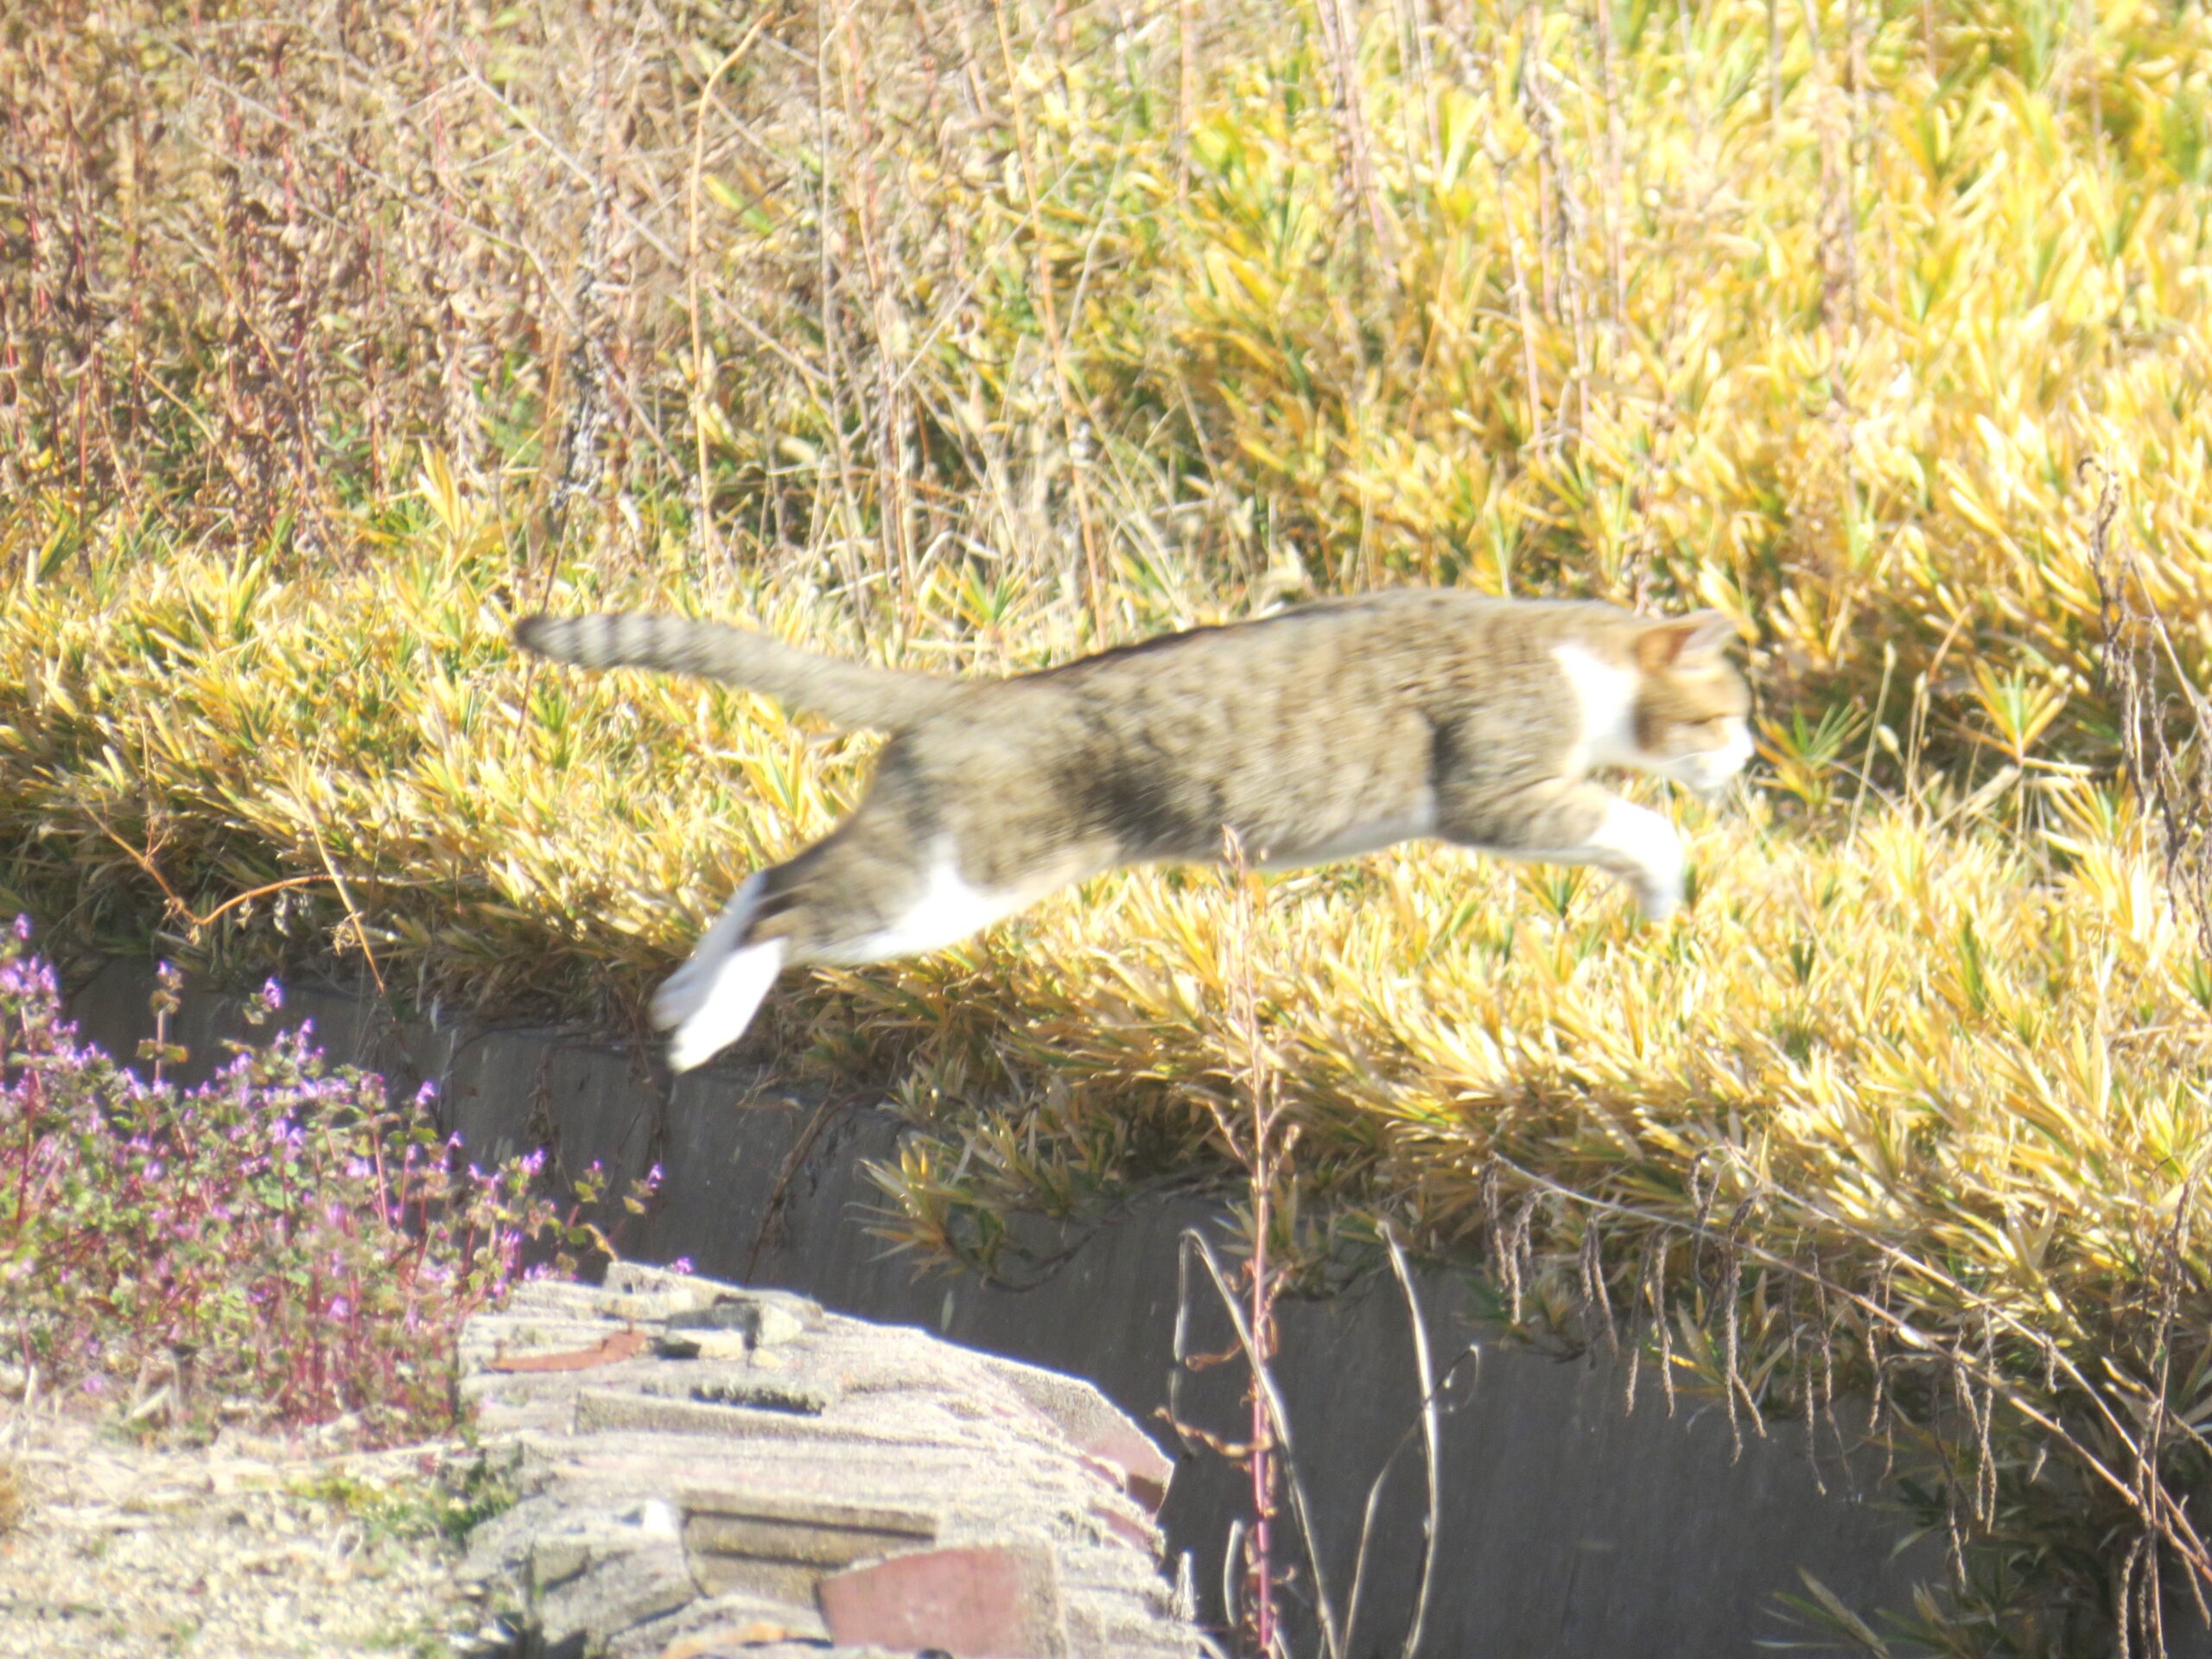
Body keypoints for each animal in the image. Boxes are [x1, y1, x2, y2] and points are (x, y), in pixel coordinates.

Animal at [508, 593, 1751, 1071]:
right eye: (1725, 715)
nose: (1744, 761)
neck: (1571, 650)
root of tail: (971, 696)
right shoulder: (1498, 784)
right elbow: (1633, 822)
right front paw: (1665, 887)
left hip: (920, 855)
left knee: (768, 870)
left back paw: (681, 994)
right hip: (943, 889)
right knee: (786, 905)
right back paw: (707, 1026)